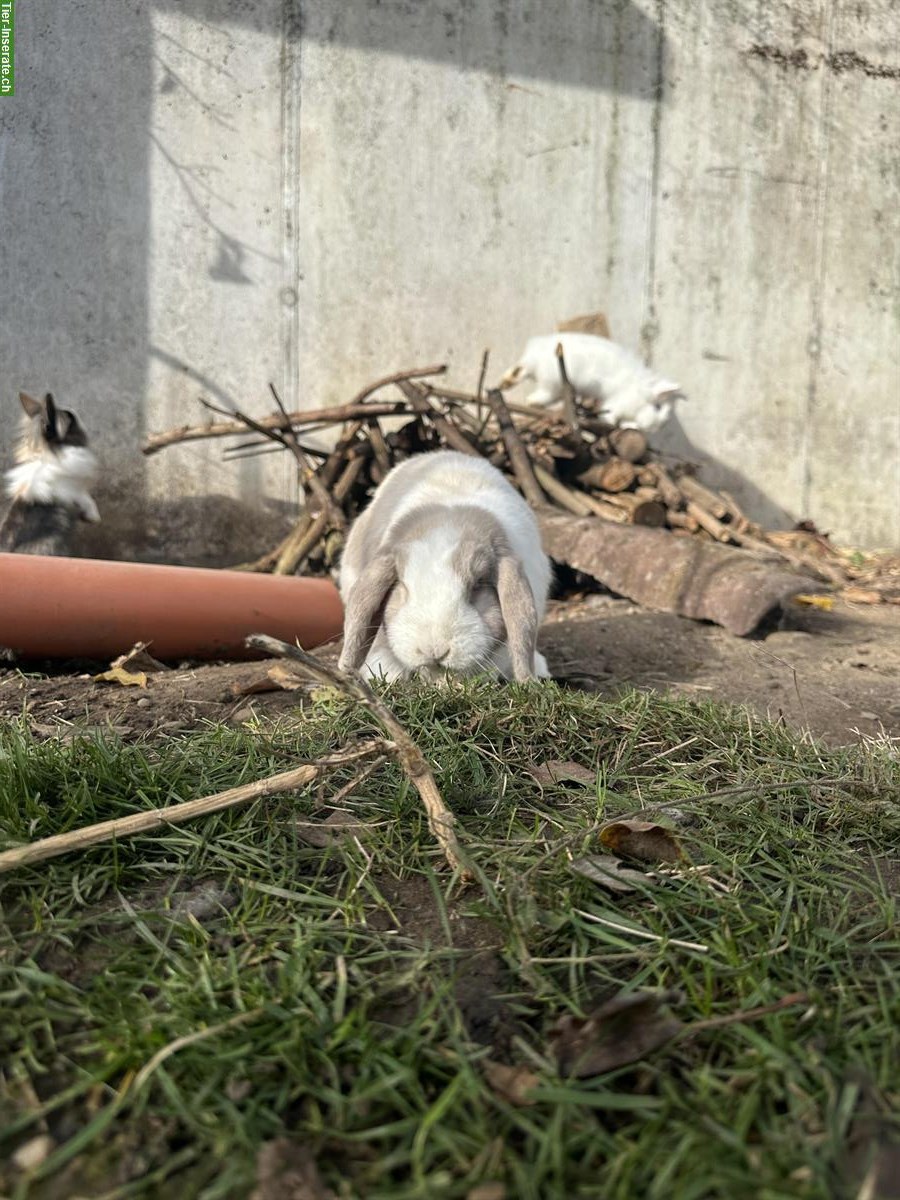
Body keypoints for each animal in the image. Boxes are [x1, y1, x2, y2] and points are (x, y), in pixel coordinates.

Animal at [0, 392, 100, 555]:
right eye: (69, 417)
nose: (74, 412)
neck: (49, 455)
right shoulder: (76, 491)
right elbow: (88, 500)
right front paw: (94, 517)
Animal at [498, 331, 685, 434]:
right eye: (657, 407)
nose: (654, 429)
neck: (639, 391)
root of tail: (536, 352)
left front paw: (628, 426)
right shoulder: (616, 404)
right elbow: (610, 416)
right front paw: (611, 424)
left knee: (520, 369)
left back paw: (505, 383)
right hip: (553, 383)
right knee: (543, 393)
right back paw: (532, 401)